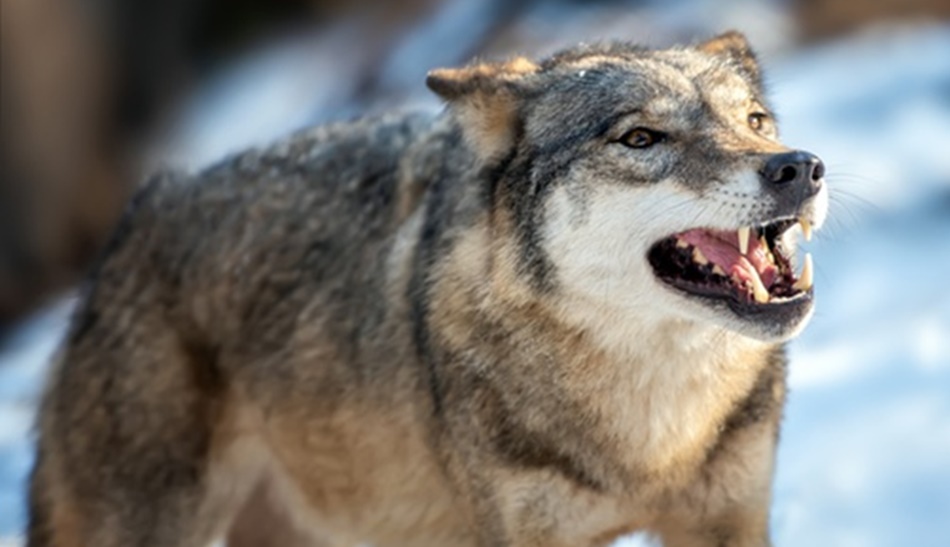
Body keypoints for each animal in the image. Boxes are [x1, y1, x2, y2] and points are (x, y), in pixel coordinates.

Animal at [29, 31, 828, 547]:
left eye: (754, 121)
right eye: (640, 139)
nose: (800, 166)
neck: (651, 436)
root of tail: (132, 224)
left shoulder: (730, 519)